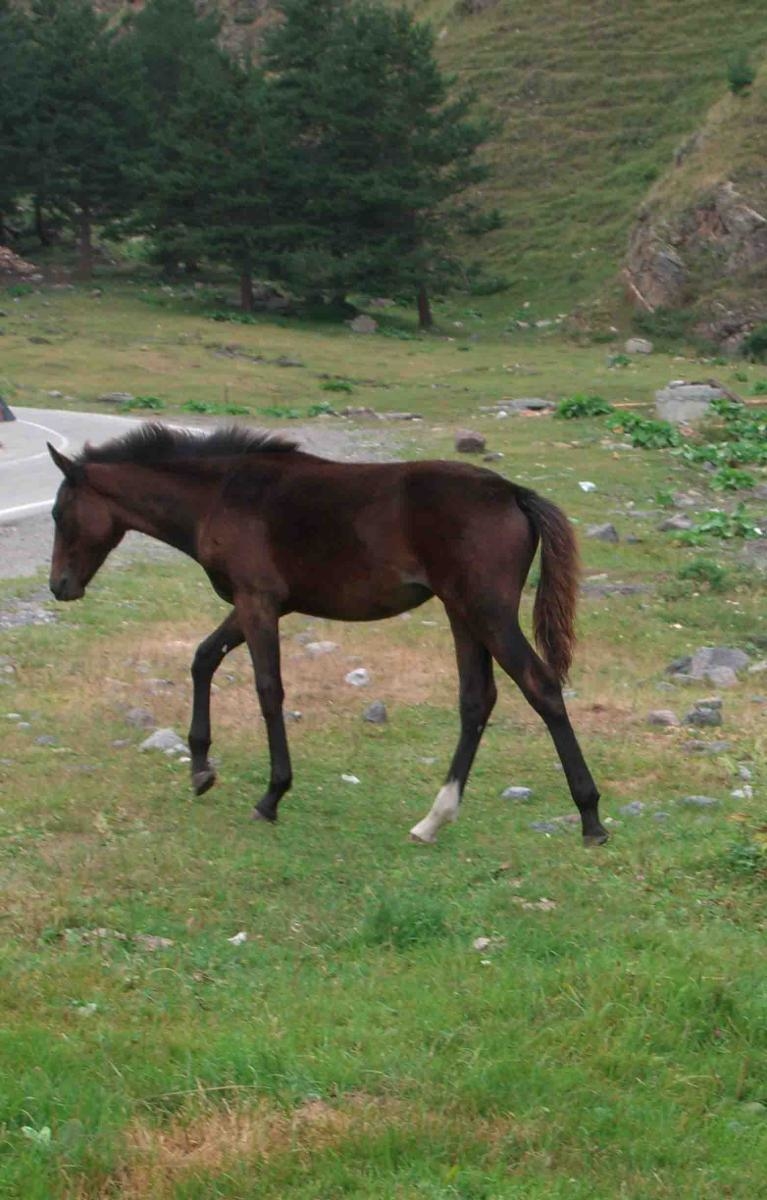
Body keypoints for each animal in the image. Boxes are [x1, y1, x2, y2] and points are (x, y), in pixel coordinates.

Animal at [49, 424, 612, 844]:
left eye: (58, 512)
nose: (59, 586)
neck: (221, 494)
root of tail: (514, 494)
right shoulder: (256, 604)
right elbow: (203, 658)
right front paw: (201, 770)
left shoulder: (257, 602)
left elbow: (268, 690)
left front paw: (271, 796)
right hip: (462, 612)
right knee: (477, 699)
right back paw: (434, 819)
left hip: (487, 611)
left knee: (540, 687)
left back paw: (590, 817)